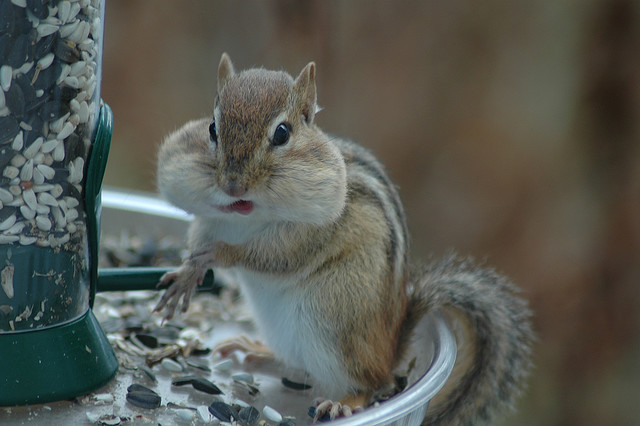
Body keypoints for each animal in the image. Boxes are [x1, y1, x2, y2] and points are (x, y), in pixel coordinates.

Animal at [154, 53, 534, 425]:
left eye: (282, 133)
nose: (233, 186)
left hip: (332, 315)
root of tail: (392, 348)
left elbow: (274, 257)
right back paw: (255, 351)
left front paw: (220, 254)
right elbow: (199, 236)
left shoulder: (308, 235)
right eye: (212, 128)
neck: (246, 214)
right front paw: (187, 274)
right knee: (298, 366)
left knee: (369, 381)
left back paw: (345, 403)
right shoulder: (211, 217)